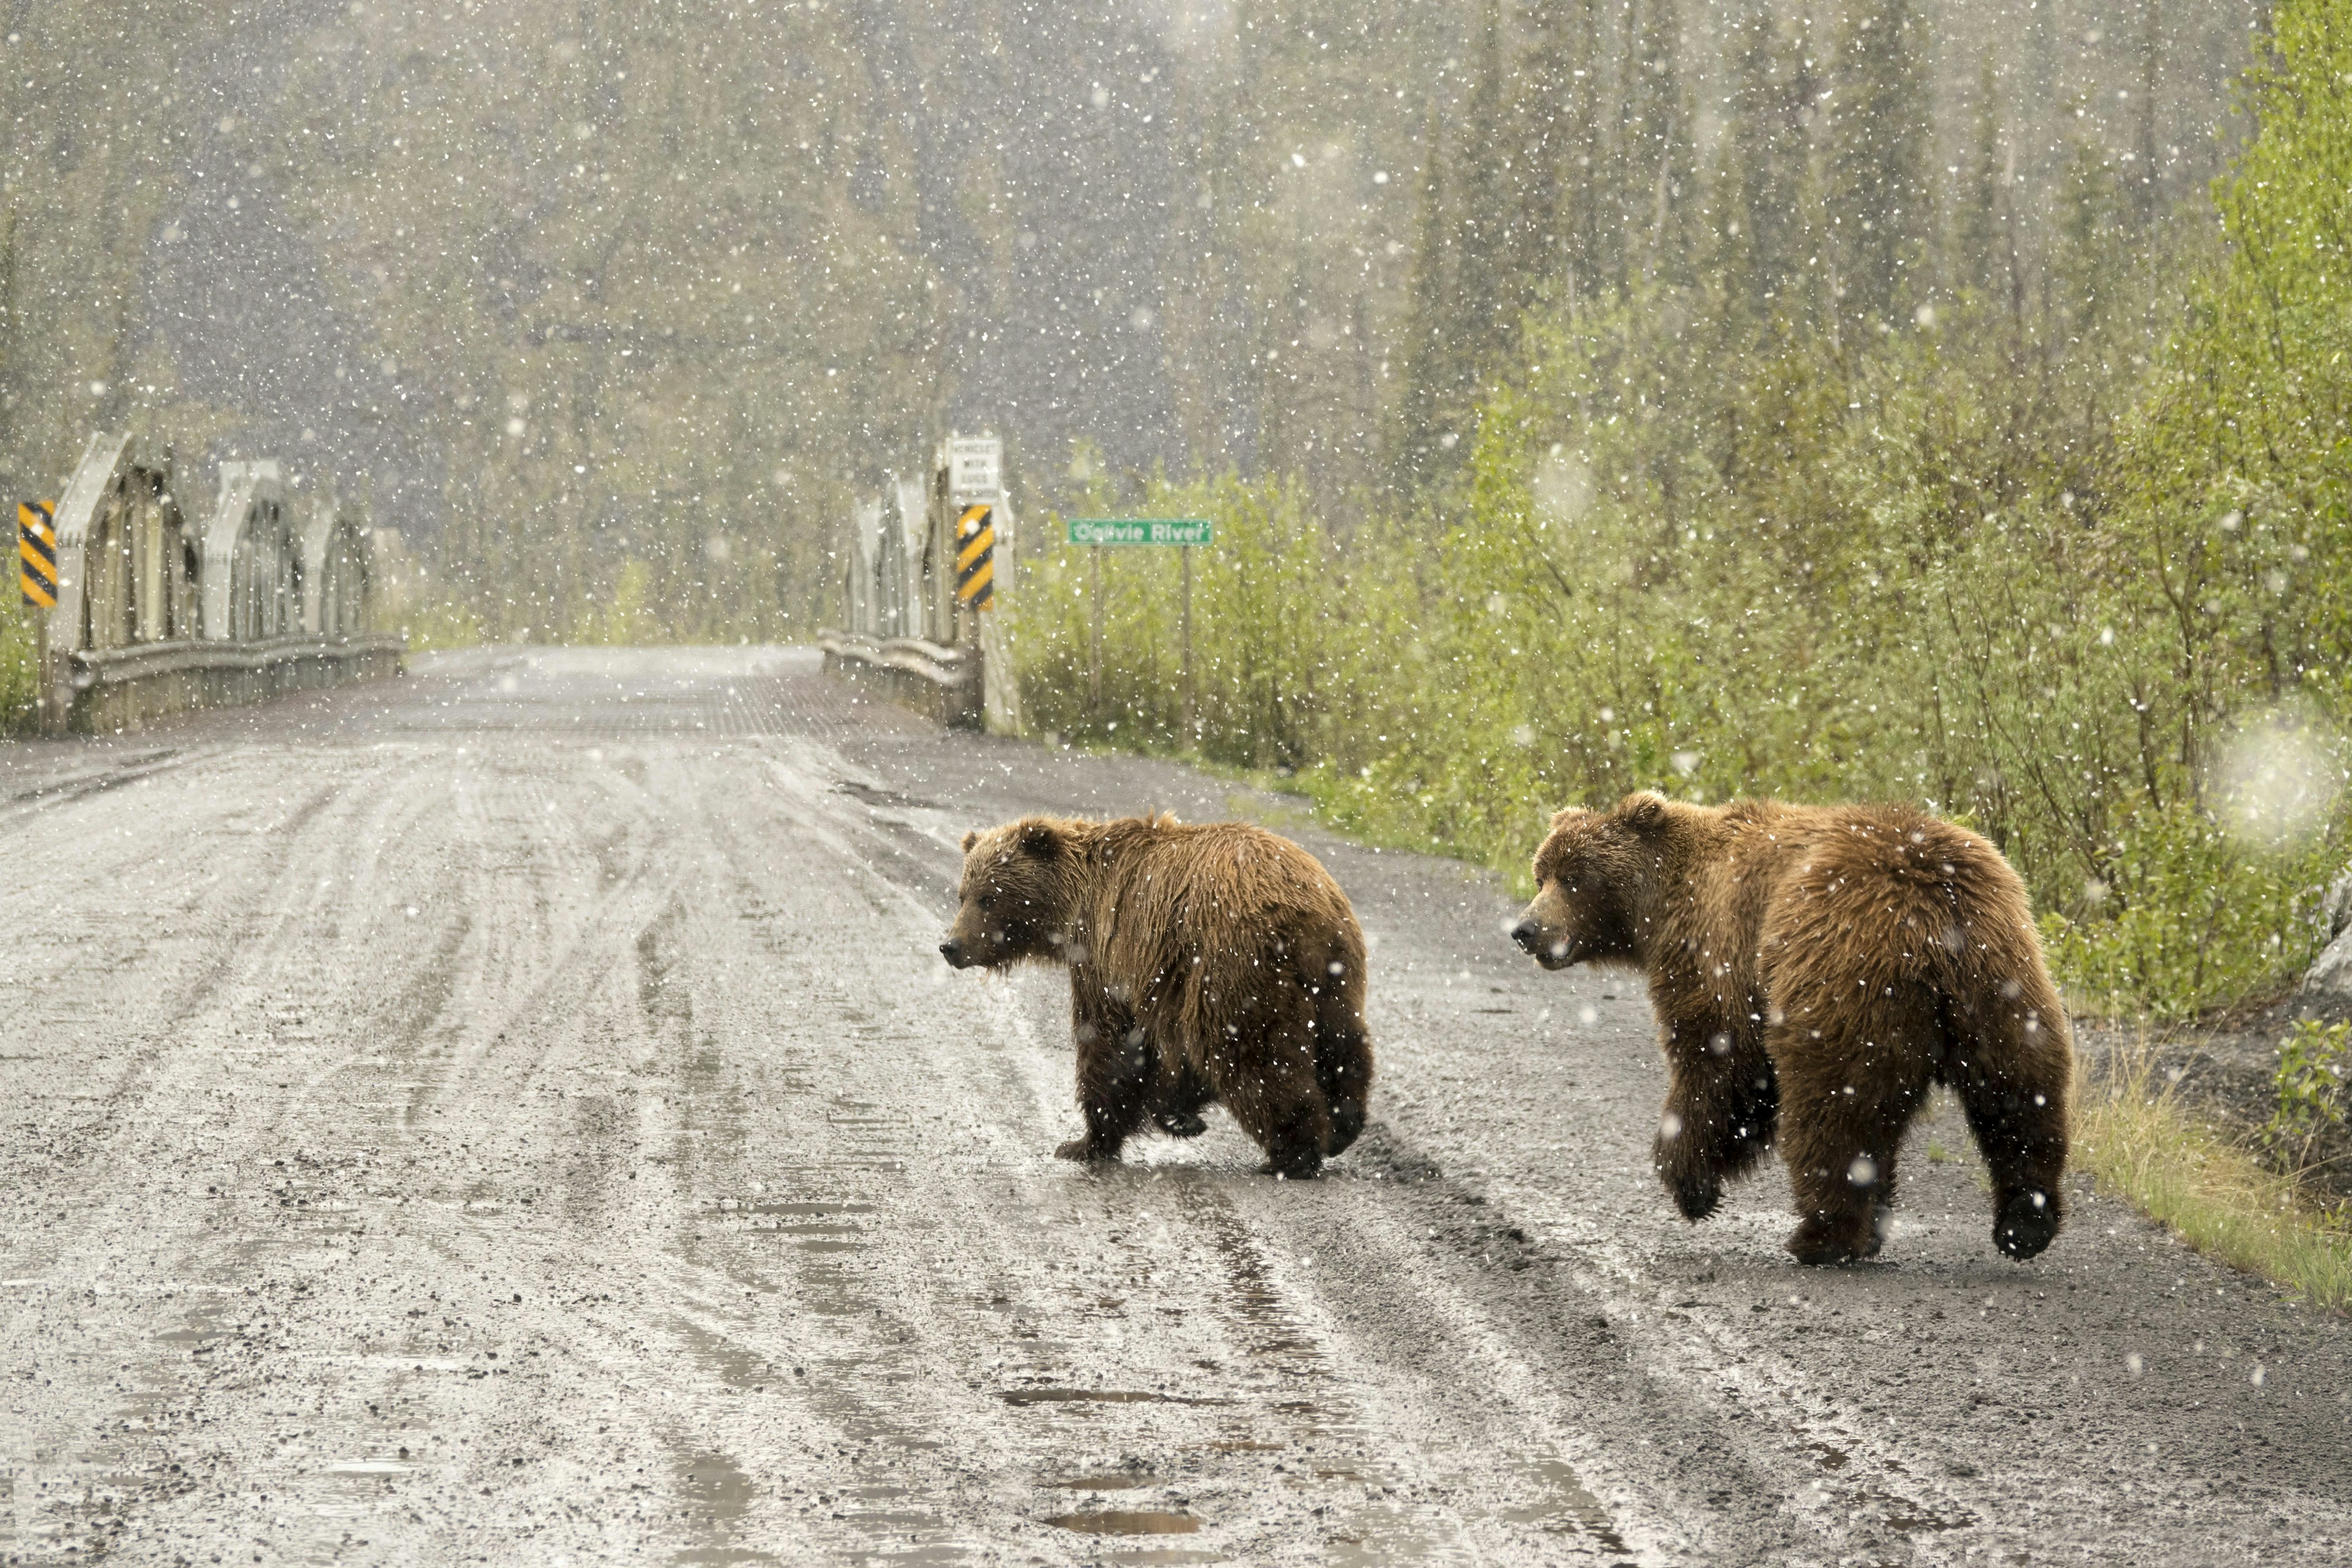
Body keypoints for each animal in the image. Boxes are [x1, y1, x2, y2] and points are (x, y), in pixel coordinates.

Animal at [941, 809, 1373, 1175]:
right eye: (962, 894)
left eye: (989, 897)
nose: (951, 946)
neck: (1073, 907)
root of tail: (1308, 910)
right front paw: (1181, 1114)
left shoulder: (1110, 956)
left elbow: (1109, 1041)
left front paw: (1084, 1142)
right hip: (1335, 975)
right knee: (1344, 1043)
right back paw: (1343, 1126)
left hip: (1236, 964)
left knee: (1250, 1053)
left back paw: (1294, 1154)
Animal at [1514, 799, 2070, 1260]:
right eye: (1542, 874)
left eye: (1574, 877)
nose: (1525, 930)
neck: (1657, 909)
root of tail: (1934, 910)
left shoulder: (1720, 952)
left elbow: (1722, 1064)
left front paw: (1692, 1185)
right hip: (2001, 979)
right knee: (2019, 1093)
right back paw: (2025, 1223)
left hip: (1840, 977)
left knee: (1832, 1110)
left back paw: (1822, 1238)